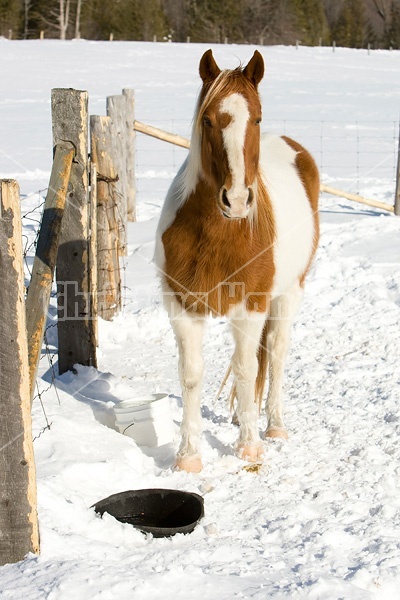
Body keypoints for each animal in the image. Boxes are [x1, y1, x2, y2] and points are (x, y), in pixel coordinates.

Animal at [155, 50, 320, 474]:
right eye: (208, 120)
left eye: (257, 118)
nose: (237, 200)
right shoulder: (183, 307)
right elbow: (191, 374)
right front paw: (188, 456)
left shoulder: (251, 306)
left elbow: (247, 369)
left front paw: (250, 447)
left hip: (289, 293)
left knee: (275, 353)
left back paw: (273, 425)